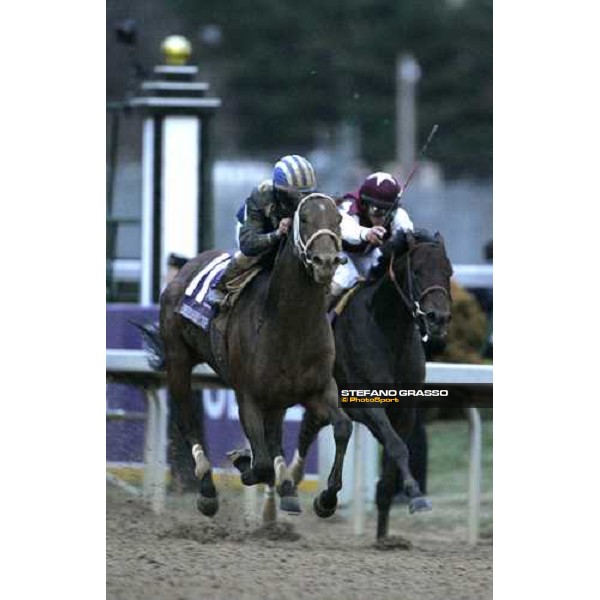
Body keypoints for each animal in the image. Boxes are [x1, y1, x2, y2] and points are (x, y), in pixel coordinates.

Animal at [162, 195, 354, 516]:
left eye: (338, 220)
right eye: (305, 219)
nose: (325, 262)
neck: (291, 326)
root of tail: (185, 269)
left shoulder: (319, 389)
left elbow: (342, 427)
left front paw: (326, 499)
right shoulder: (248, 395)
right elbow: (261, 464)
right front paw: (243, 459)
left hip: (278, 398)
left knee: (275, 435)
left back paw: (287, 489)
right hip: (177, 359)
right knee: (188, 419)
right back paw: (207, 490)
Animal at [288, 230, 452, 540]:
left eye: (449, 271)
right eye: (417, 271)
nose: (439, 318)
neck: (387, 331)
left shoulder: (405, 409)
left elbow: (393, 460)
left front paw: (384, 537)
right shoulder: (365, 403)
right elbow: (397, 445)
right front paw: (417, 496)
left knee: (311, 428)